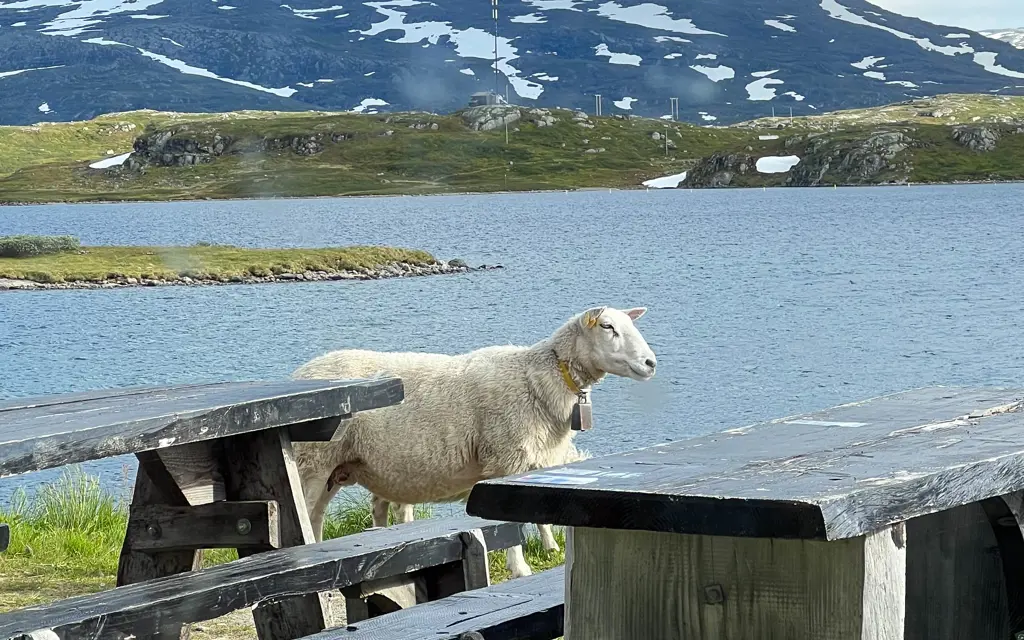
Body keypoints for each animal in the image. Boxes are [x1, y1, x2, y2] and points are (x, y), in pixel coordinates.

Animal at [290, 303, 655, 573]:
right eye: (607, 327)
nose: (651, 363)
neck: (537, 378)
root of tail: (300, 372)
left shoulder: (534, 460)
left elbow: (540, 519)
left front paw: (551, 548)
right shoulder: (506, 458)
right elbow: (510, 524)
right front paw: (520, 567)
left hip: (337, 465)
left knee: (317, 515)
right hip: (313, 460)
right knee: (307, 514)